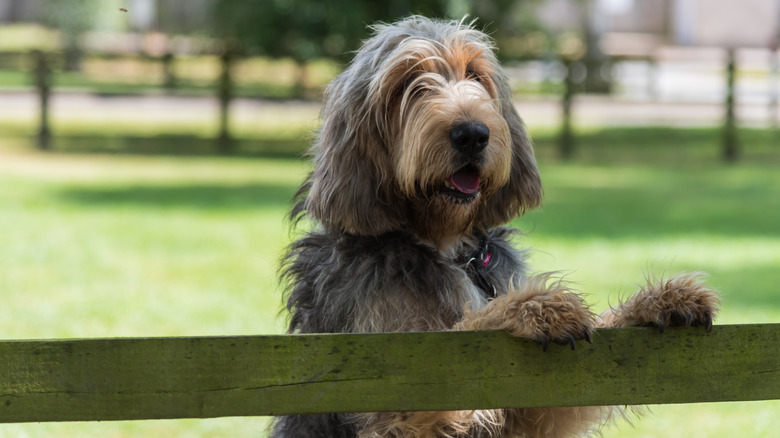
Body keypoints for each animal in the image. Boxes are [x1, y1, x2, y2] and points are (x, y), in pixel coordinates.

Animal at [272, 15, 720, 436]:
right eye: (407, 83)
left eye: (475, 74)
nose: (472, 133)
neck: (448, 246)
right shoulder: (394, 381)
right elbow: (466, 327)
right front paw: (535, 308)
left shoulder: (529, 410)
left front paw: (660, 300)